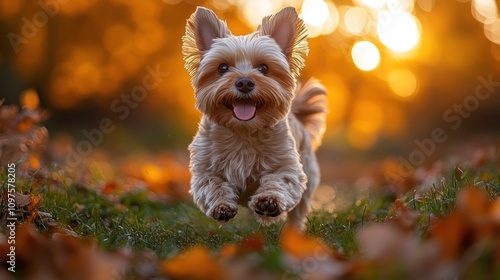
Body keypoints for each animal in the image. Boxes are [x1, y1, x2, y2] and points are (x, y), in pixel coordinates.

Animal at [182, 6, 326, 230]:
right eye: (222, 68)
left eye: (264, 68)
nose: (244, 83)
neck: (243, 131)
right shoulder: (205, 170)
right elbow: (214, 185)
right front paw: (222, 206)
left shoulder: (288, 167)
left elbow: (278, 180)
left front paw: (269, 200)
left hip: (309, 176)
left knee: (297, 212)